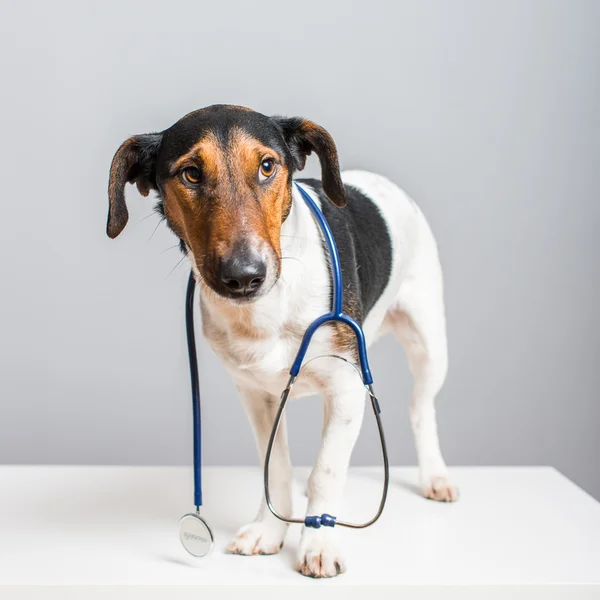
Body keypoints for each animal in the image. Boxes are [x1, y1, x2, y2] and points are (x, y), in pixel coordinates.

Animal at [108, 105, 458, 580]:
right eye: (191, 174)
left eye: (268, 166)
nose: (243, 274)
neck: (267, 310)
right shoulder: (256, 394)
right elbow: (274, 467)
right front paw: (269, 530)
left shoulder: (347, 388)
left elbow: (325, 470)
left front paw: (320, 541)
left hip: (428, 344)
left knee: (421, 409)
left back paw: (434, 476)